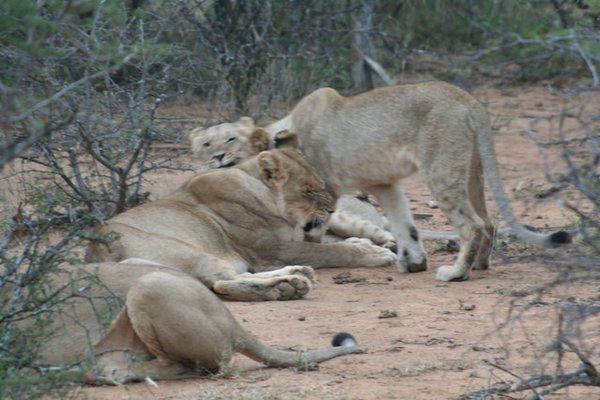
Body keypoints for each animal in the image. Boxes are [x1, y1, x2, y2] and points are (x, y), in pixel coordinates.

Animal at [84, 131, 394, 300]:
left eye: (320, 185)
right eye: (308, 191)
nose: (331, 210)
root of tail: (95, 254)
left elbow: (333, 242)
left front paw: (363, 243)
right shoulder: (273, 250)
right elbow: (333, 251)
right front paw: (373, 253)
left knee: (230, 278)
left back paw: (294, 277)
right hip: (188, 252)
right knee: (220, 283)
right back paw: (288, 286)